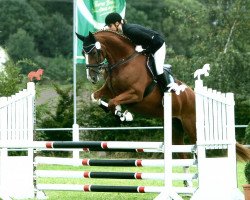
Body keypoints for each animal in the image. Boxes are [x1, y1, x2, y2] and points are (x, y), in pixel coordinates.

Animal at [76, 29, 250, 162]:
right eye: (83, 53)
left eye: (93, 52)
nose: (92, 78)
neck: (122, 61)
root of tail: (194, 95)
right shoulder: (109, 89)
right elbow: (95, 97)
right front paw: (114, 111)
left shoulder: (135, 94)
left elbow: (113, 102)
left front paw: (122, 114)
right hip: (176, 127)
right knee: (183, 155)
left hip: (191, 126)